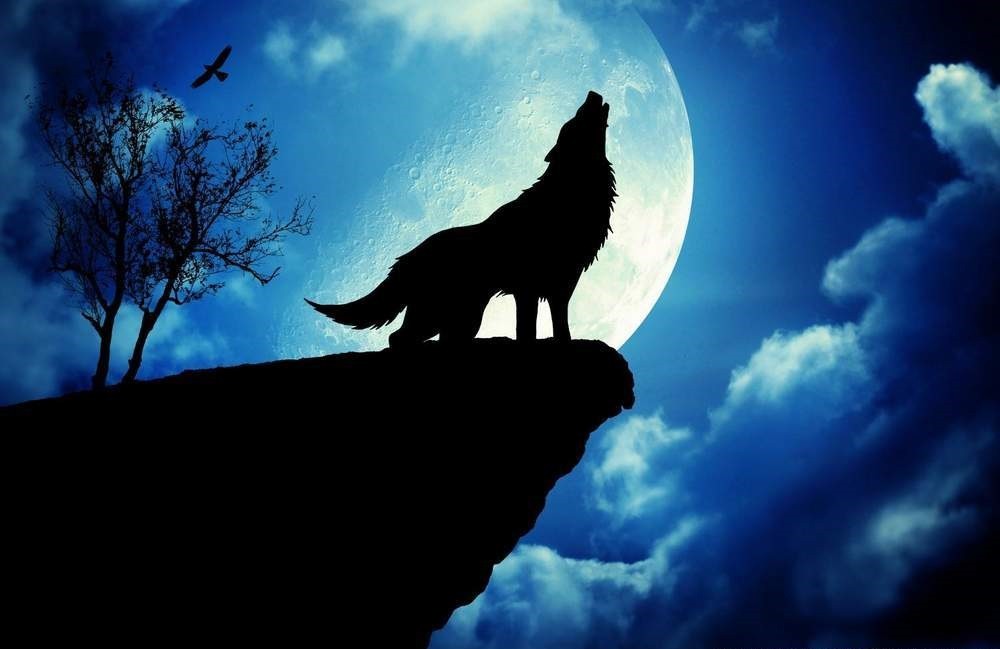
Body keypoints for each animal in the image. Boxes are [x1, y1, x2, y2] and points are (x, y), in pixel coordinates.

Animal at [307, 90, 616, 348]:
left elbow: (560, 327)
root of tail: (407, 258)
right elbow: (526, 331)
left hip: (462, 317)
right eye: (574, 119)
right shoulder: (527, 288)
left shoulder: (562, 285)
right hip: (441, 313)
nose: (592, 93)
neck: (565, 195)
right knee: (398, 338)